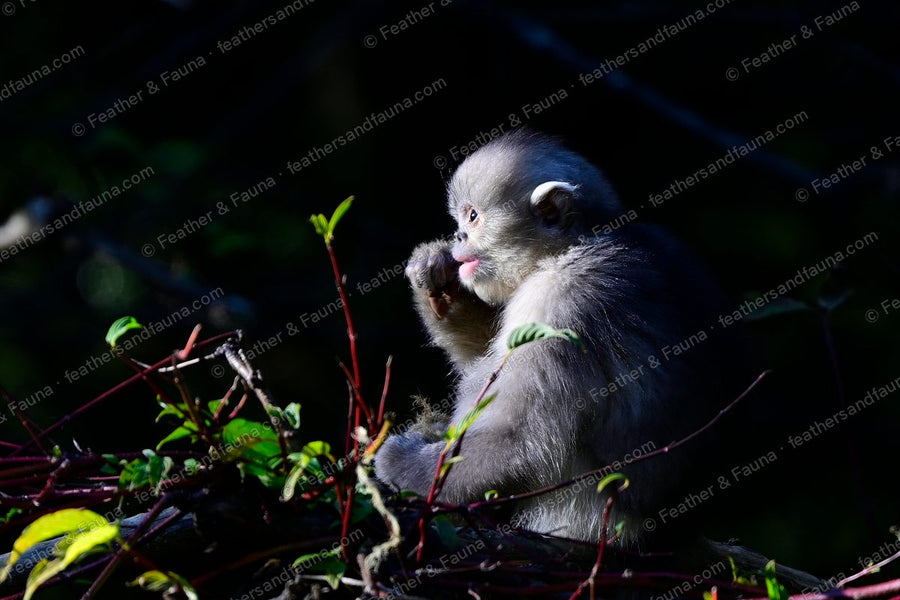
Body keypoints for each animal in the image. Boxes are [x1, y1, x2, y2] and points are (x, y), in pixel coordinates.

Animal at [375, 129, 747, 544]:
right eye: (460, 220)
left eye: (473, 216)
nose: (458, 234)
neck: (572, 250)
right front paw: (437, 282)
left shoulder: (559, 305)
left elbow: (518, 441)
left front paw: (403, 466)